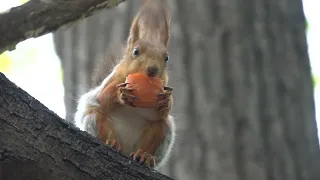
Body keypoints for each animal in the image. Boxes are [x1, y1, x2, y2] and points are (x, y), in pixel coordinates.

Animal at [74, 0, 175, 169]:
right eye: (135, 52)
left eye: (166, 58)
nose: (153, 69)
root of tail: (127, 150)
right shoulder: (114, 79)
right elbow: (103, 98)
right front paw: (120, 95)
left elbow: (162, 113)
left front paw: (166, 100)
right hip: (94, 119)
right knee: (99, 118)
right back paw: (112, 144)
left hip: (162, 132)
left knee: (160, 126)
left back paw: (145, 156)